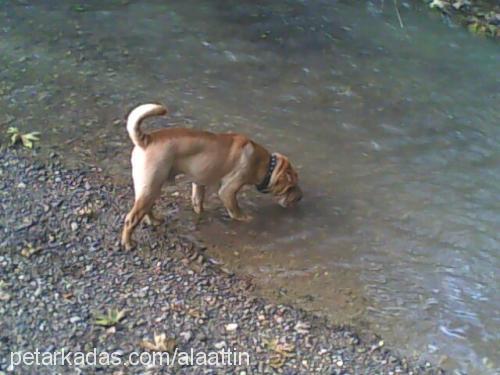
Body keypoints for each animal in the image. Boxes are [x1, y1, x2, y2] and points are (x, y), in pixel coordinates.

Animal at [121, 103, 302, 250]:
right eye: (291, 187)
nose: (300, 197)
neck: (266, 165)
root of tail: (146, 140)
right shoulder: (228, 191)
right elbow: (236, 211)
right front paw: (246, 218)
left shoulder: (198, 183)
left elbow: (198, 202)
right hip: (151, 185)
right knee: (131, 218)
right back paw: (128, 244)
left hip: (151, 188)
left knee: (146, 209)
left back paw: (154, 221)